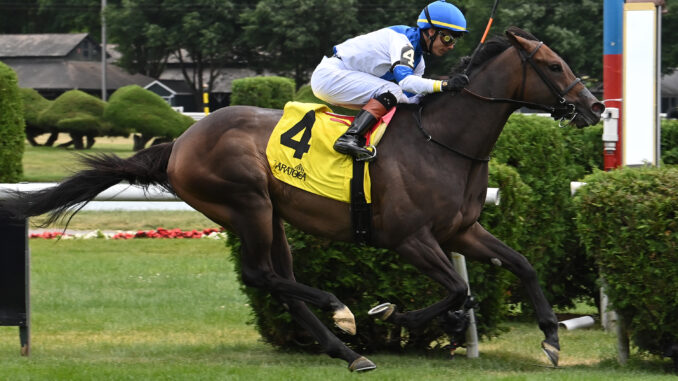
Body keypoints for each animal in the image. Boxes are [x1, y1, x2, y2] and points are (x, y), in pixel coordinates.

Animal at [1, 27, 604, 372]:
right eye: (553, 66)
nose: (595, 107)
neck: (443, 141)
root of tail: (181, 141)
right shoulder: (409, 238)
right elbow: (458, 289)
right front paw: (397, 313)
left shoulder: (461, 230)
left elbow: (520, 266)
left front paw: (552, 338)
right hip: (246, 203)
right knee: (261, 275)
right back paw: (341, 312)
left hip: (274, 217)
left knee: (280, 282)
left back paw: (349, 352)